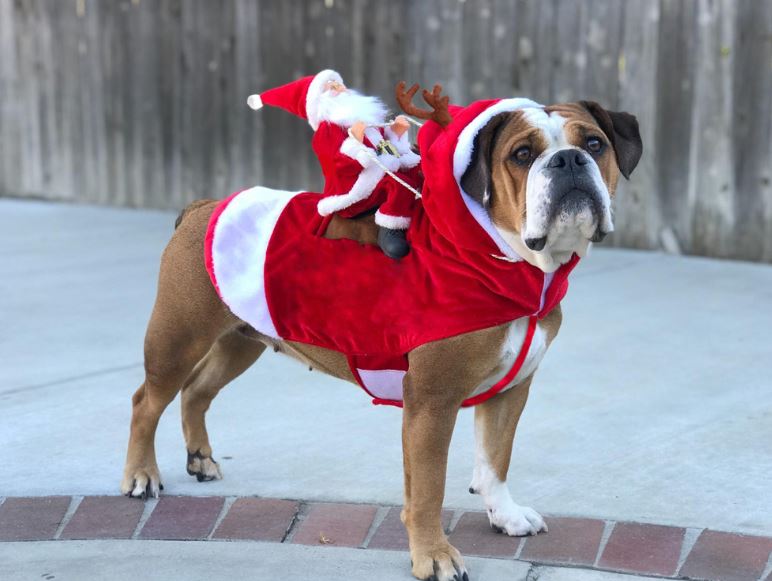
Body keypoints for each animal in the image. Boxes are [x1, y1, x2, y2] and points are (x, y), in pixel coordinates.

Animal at [120, 87, 640, 580]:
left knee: (197, 391)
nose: (569, 160)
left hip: (240, 340)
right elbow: (428, 489)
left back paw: (200, 458)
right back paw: (141, 476)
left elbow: (496, 459)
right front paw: (434, 557)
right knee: (148, 401)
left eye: (594, 144)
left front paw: (505, 515)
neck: (504, 258)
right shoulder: (431, 405)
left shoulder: (511, 391)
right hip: (177, 339)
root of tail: (204, 207)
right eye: (522, 154)